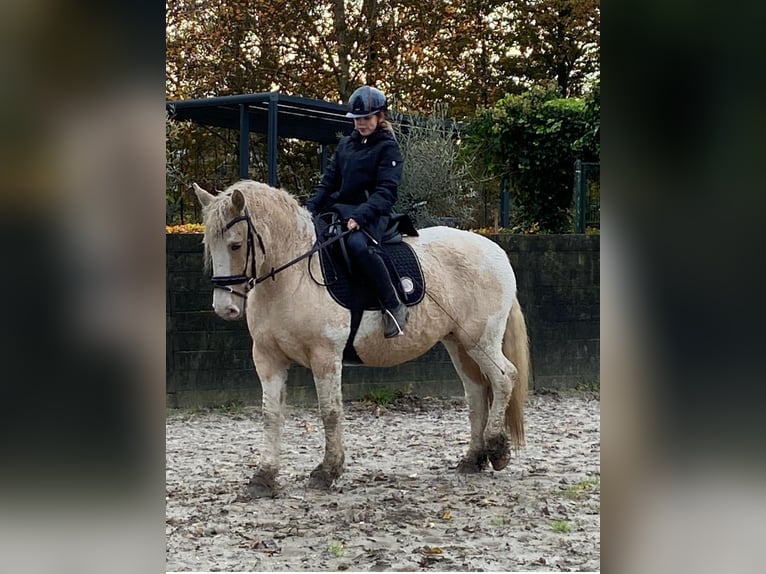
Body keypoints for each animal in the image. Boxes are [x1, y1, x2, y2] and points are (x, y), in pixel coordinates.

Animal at [192, 181, 532, 500]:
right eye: (210, 245)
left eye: (236, 245)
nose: (225, 308)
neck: (293, 275)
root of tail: (495, 250)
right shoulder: (267, 357)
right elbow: (271, 414)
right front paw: (263, 477)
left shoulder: (325, 356)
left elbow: (330, 413)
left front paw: (327, 472)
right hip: (457, 343)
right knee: (476, 393)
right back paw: (473, 459)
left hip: (480, 340)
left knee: (504, 378)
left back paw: (497, 449)